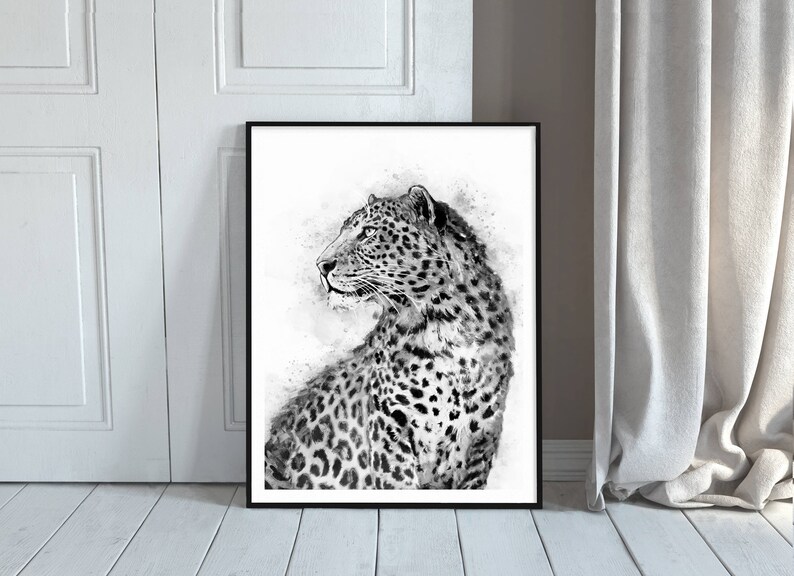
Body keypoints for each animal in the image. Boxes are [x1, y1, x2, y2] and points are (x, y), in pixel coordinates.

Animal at [264, 185, 514, 490]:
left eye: (369, 232)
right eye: (343, 231)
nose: (321, 265)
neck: (447, 327)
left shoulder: (482, 438)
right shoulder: (390, 426)